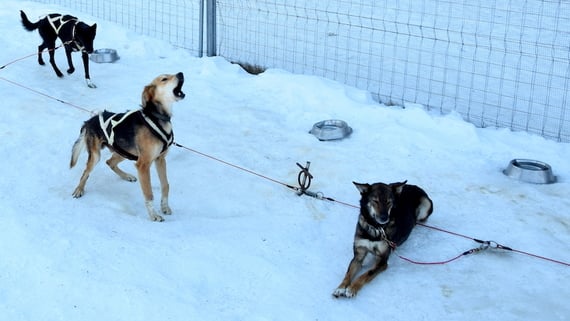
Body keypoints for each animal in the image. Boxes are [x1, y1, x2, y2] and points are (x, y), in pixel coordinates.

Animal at [68, 72, 184, 220]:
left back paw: (126, 176)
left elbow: (165, 185)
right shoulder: (143, 165)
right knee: (86, 172)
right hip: (96, 156)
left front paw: (164, 206)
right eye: (164, 79)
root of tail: (89, 121)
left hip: (124, 151)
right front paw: (153, 215)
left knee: (110, 162)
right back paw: (79, 189)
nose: (181, 73)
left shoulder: (160, 159)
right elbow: (148, 193)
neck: (157, 118)